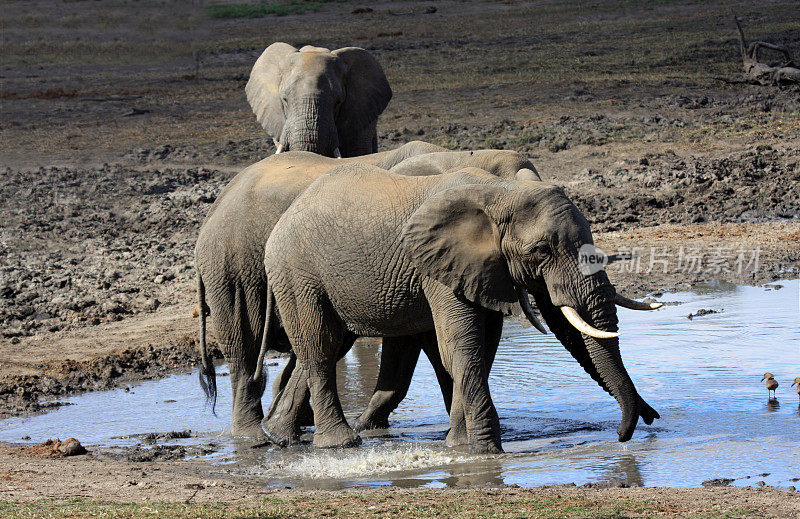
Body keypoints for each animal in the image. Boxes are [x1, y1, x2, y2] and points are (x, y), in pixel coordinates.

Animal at [264, 165, 664, 452]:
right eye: (541, 251)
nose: (631, 430)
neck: (501, 192)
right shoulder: (438, 266)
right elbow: (460, 346)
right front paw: (486, 451)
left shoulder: (485, 271)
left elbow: (481, 348)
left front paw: (458, 445)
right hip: (297, 274)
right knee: (320, 347)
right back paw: (339, 444)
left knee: (325, 347)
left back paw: (280, 438)